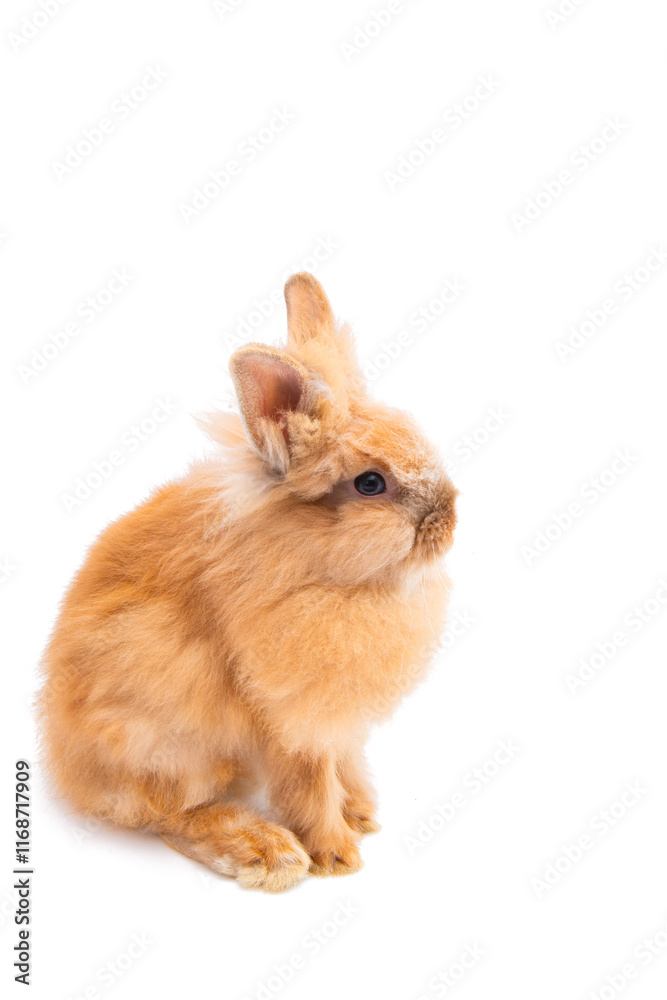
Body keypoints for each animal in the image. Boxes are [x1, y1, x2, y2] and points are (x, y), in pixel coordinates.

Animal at [38, 273, 457, 892]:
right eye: (370, 483)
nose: (450, 519)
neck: (316, 567)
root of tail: (68, 766)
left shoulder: (333, 718)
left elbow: (343, 762)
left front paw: (361, 814)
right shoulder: (292, 714)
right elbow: (310, 782)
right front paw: (338, 855)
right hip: (169, 745)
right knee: (171, 814)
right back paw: (265, 851)